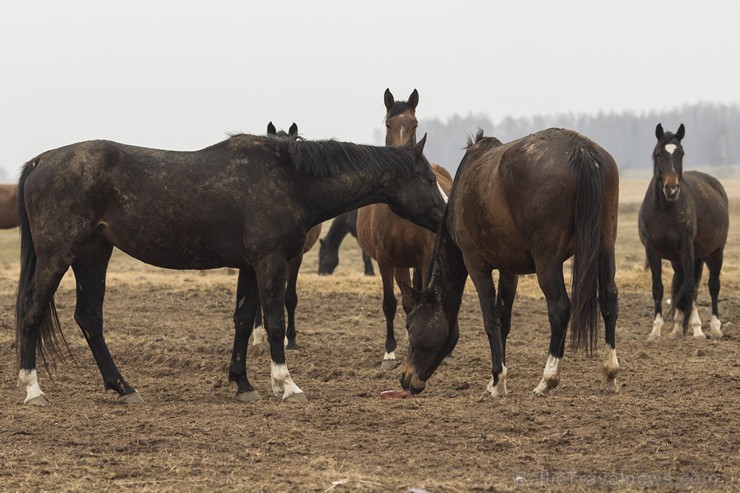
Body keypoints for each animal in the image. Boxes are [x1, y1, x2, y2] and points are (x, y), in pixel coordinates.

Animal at [356, 88, 454, 368]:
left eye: (415, 124)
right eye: (389, 124)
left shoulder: (426, 257)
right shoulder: (385, 260)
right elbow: (391, 303)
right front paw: (390, 352)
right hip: (400, 263)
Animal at [398, 129, 620, 398]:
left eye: (410, 326)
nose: (405, 379)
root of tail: (582, 150)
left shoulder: (476, 264)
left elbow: (491, 320)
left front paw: (497, 381)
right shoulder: (509, 269)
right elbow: (504, 320)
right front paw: (497, 380)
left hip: (548, 261)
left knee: (559, 308)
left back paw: (547, 379)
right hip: (604, 244)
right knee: (608, 299)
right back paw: (609, 372)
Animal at [636, 124, 728, 338]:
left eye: (681, 153)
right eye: (659, 154)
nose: (671, 189)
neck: (665, 210)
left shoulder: (687, 248)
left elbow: (691, 287)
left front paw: (697, 329)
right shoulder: (652, 250)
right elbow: (659, 288)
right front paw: (656, 330)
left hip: (715, 252)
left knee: (713, 286)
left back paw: (715, 327)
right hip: (679, 259)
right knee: (679, 282)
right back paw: (677, 327)